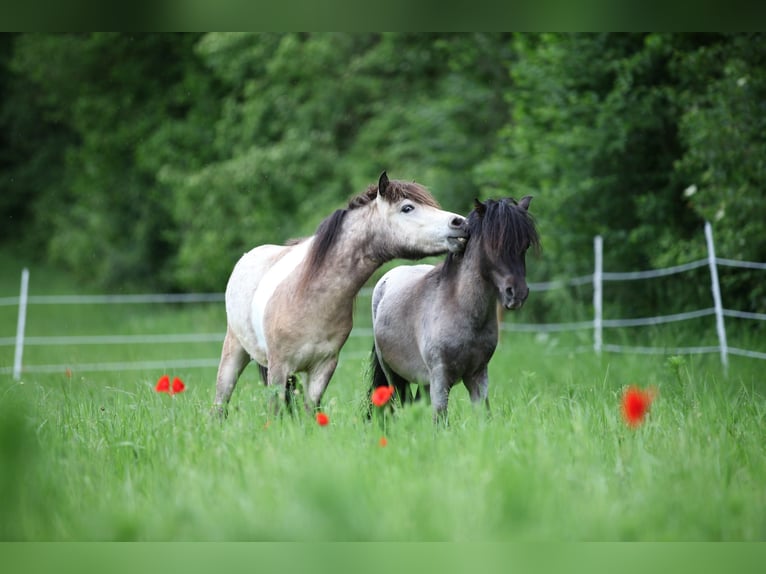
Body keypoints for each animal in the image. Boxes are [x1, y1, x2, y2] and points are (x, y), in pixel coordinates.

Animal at [213, 172, 472, 418]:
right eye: (407, 208)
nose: (461, 222)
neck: (309, 296)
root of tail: (248, 257)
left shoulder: (323, 368)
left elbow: (310, 412)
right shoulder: (278, 368)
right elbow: (275, 412)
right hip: (234, 350)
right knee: (220, 402)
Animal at [370, 198, 540, 424]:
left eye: (525, 245)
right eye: (493, 244)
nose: (517, 293)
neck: (461, 309)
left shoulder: (478, 376)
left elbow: (484, 417)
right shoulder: (440, 379)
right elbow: (441, 422)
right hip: (393, 375)